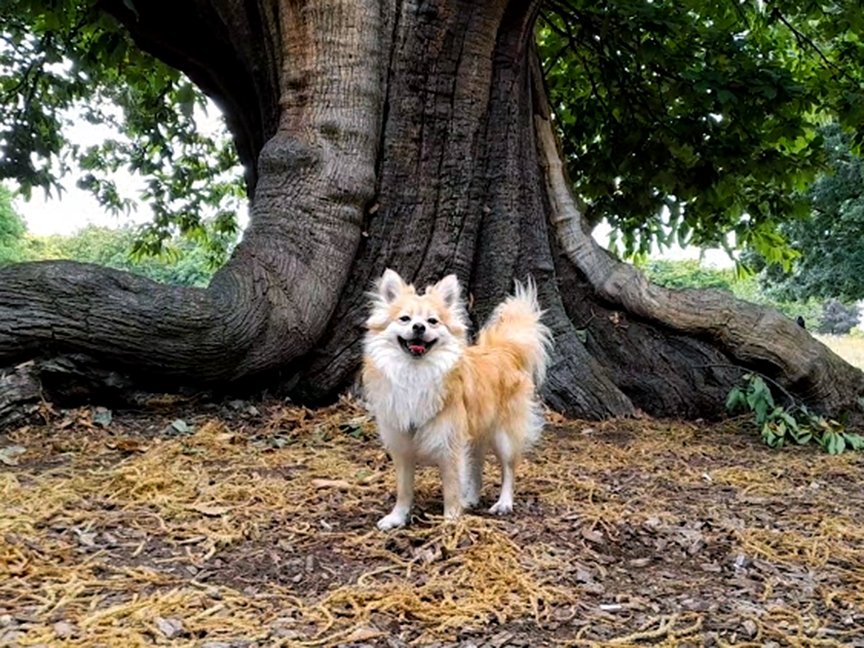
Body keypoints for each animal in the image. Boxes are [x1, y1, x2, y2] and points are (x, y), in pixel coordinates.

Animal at [362, 266, 552, 528]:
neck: (415, 372)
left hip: (504, 436)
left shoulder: (450, 445)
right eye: (405, 319)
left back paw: (503, 503)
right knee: (477, 466)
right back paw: (471, 498)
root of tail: (503, 350)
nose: (419, 327)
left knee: (508, 469)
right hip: (475, 435)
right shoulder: (403, 447)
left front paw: (451, 520)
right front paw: (397, 517)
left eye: (432, 321)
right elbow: (404, 489)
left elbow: (451, 487)